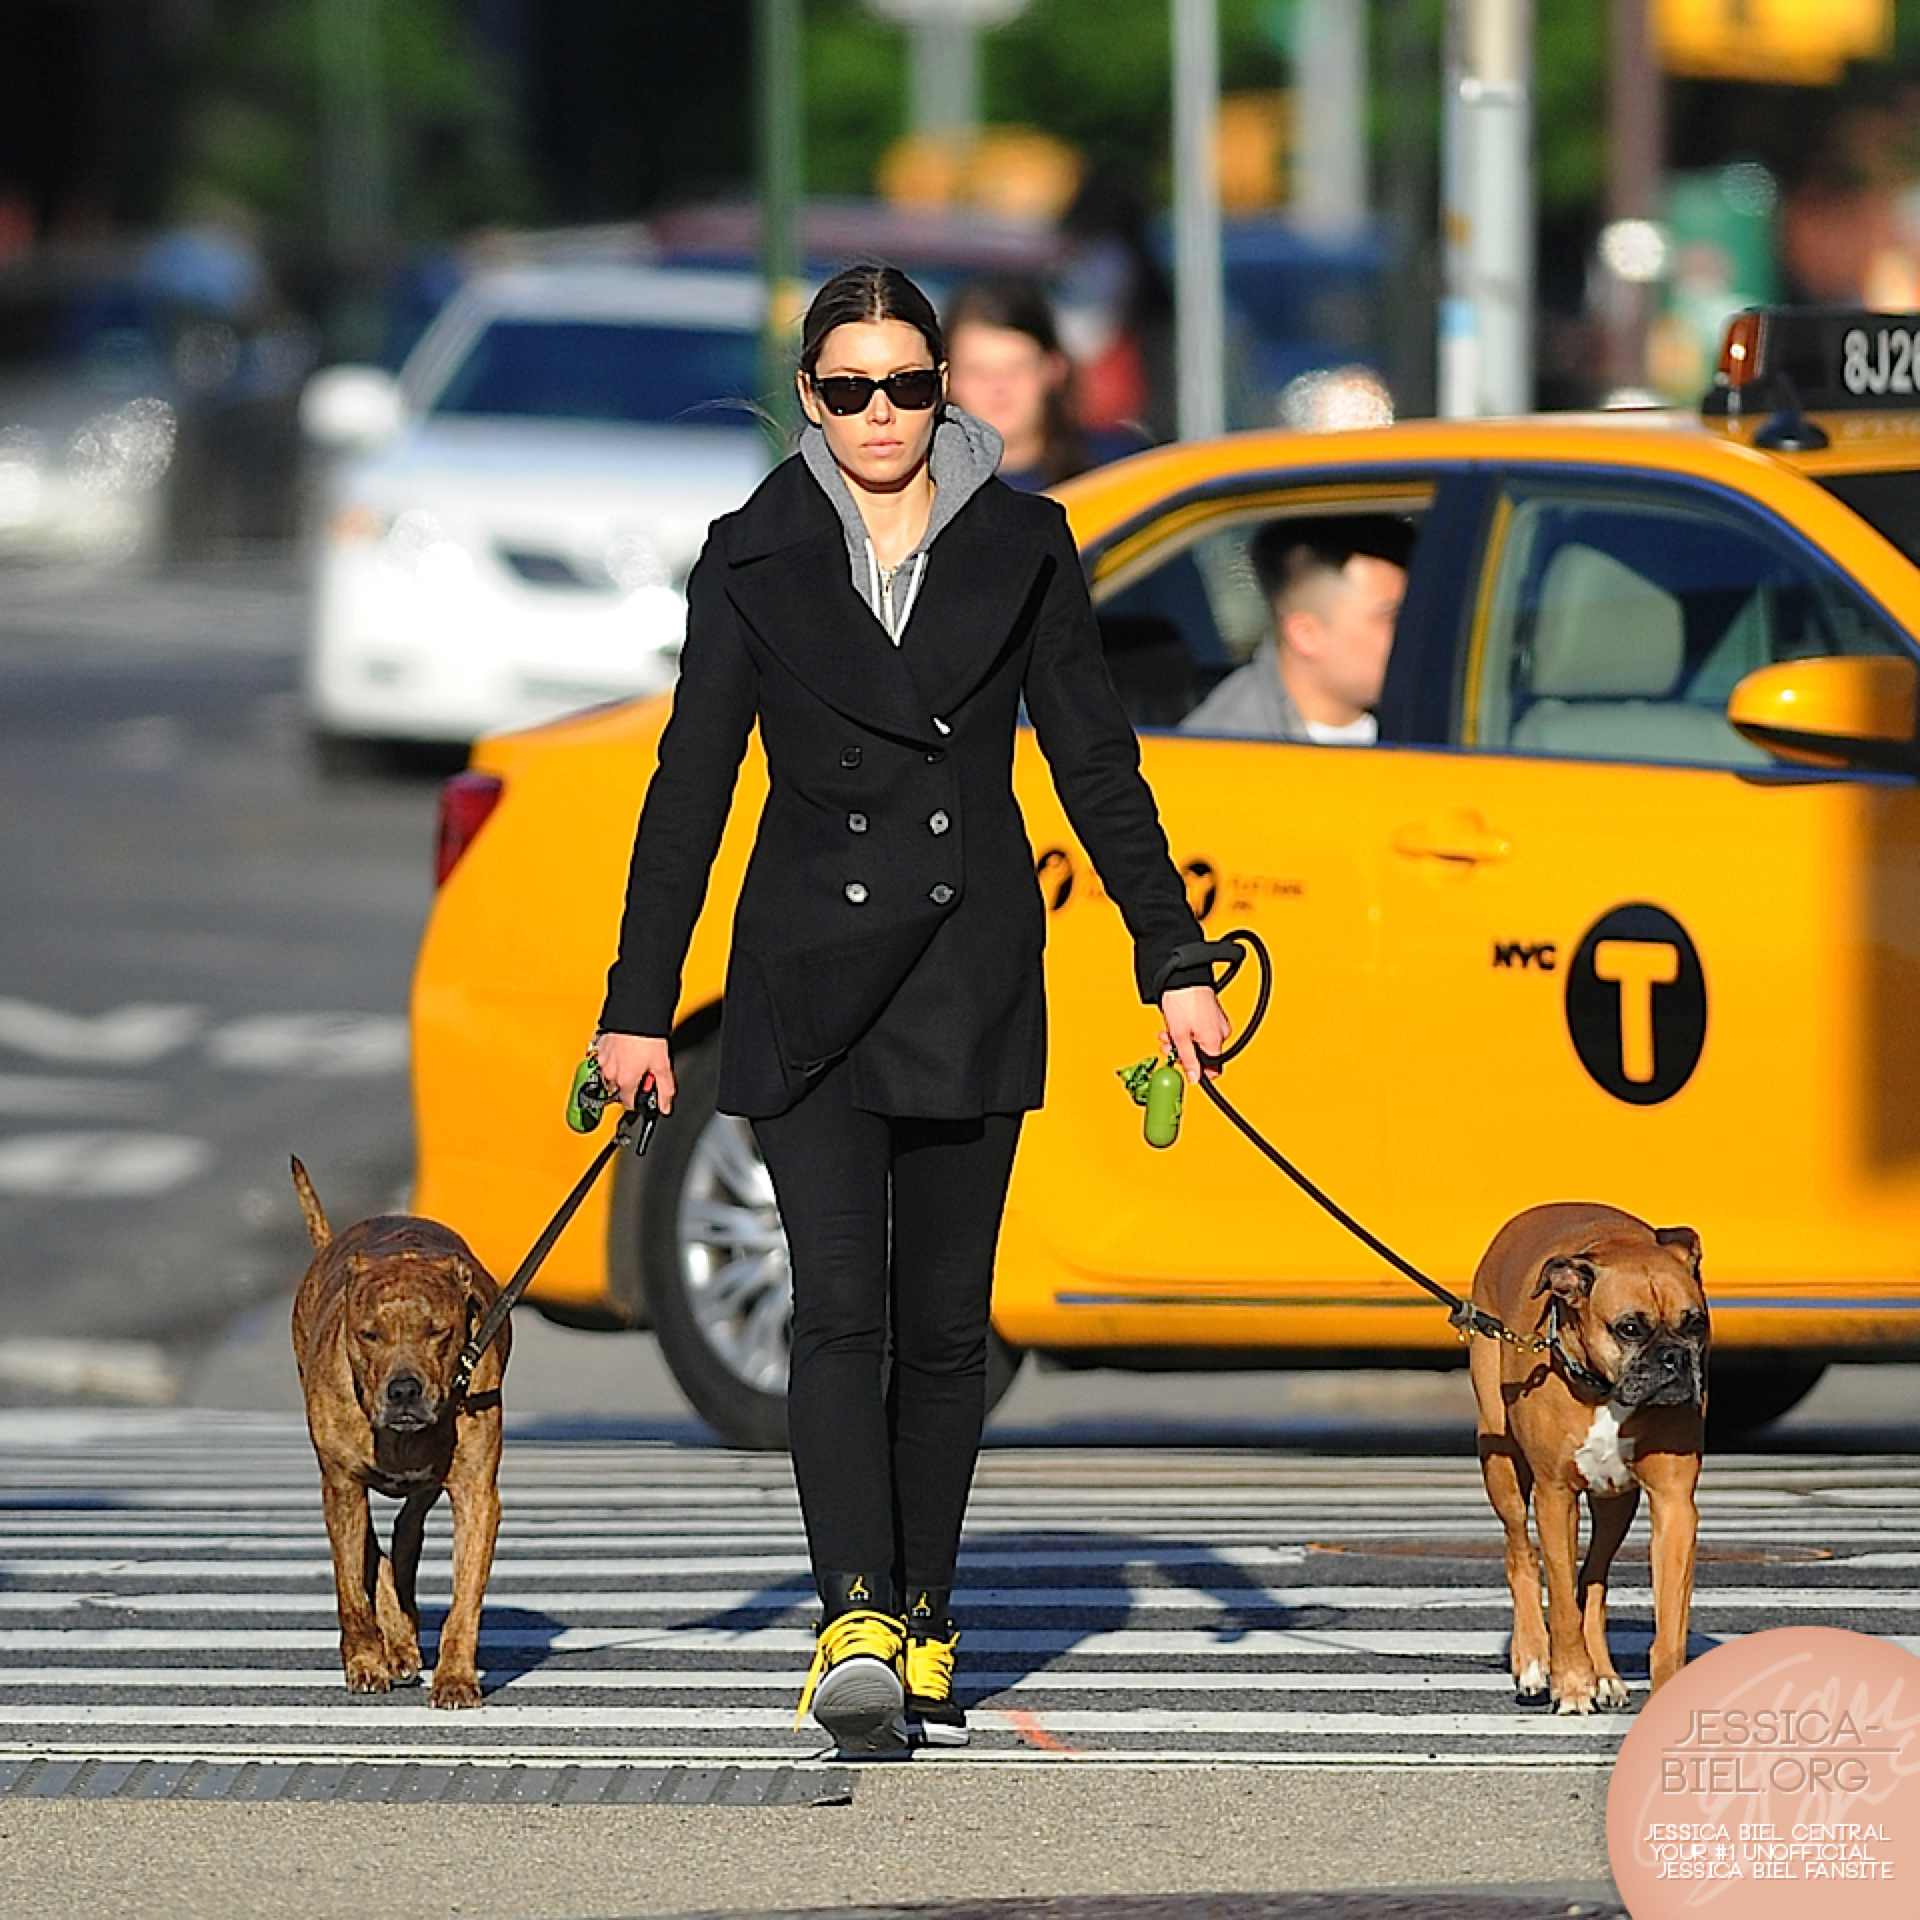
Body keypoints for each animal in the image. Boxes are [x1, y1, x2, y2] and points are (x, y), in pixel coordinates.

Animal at [288, 1152, 506, 1712]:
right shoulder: (341, 1484)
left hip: (429, 1481)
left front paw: (455, 1677)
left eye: (438, 1332)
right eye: (369, 1334)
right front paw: (366, 1661)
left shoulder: (476, 1492)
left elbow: (465, 1598)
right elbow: (350, 1587)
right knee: (371, 1550)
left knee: (406, 1533)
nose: (404, 1389)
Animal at [1466, 1205, 1712, 1720]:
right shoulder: (1555, 1497)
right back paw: (1533, 1660)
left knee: (1593, 1579)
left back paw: (1604, 1674)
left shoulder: (1675, 1506)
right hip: (1502, 1467)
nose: (1675, 1359)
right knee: (1521, 1555)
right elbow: (1560, 1599)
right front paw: (1573, 1683)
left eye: (1695, 1323)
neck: (1604, 1390)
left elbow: (1668, 1622)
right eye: (1630, 1328)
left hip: (1616, 1502)